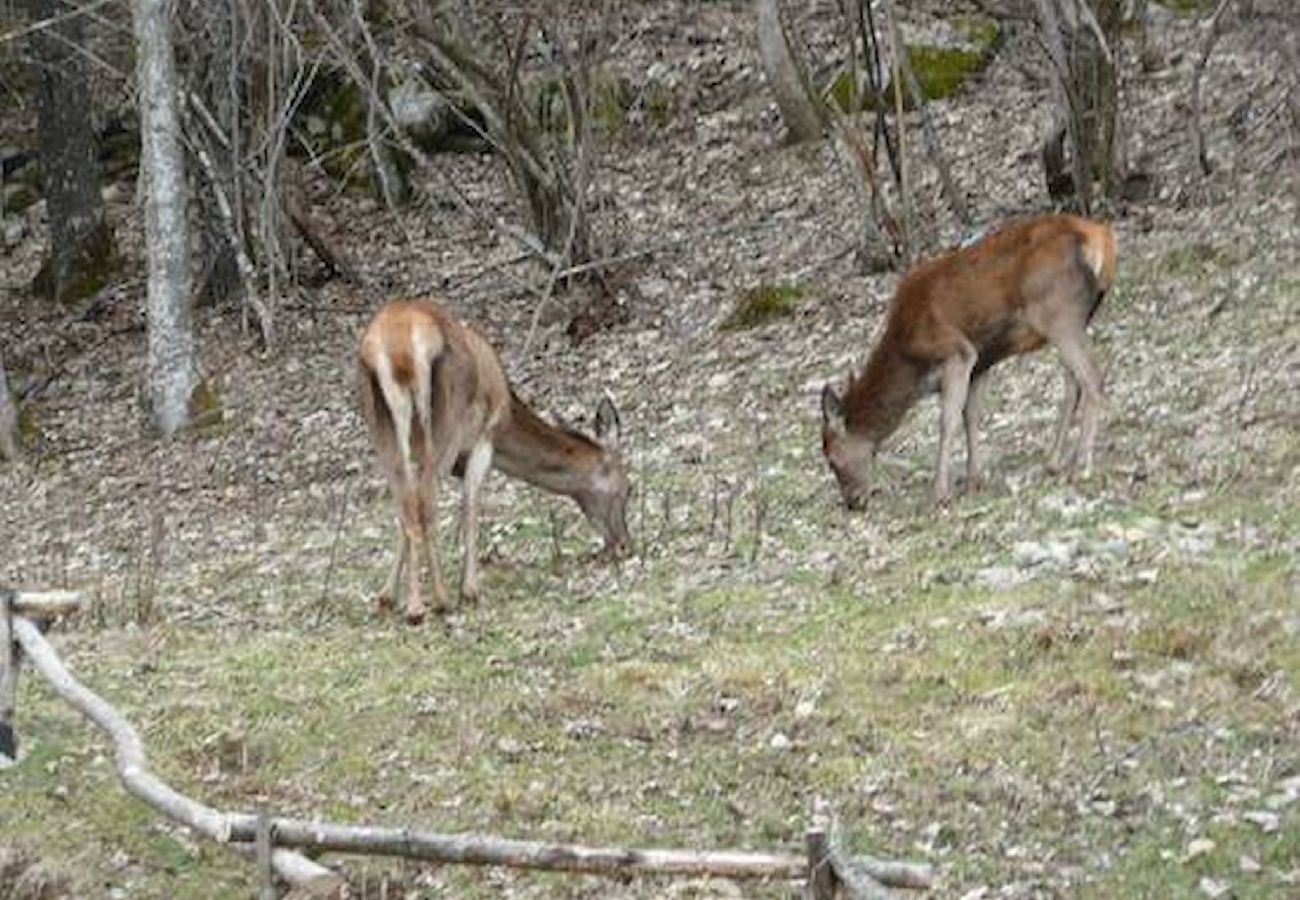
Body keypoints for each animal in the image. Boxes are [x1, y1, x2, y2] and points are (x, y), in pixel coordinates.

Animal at [358, 299, 631, 621]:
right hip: (446, 423)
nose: (624, 543)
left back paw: (414, 604)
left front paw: (385, 598)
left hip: (381, 427)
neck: (508, 415)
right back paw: (436, 601)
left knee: (408, 504)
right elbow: (471, 507)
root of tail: (399, 348)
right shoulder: (483, 440)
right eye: (628, 489)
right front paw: (469, 590)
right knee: (426, 502)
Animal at [821, 210, 1118, 507]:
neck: (908, 357)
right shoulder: (982, 362)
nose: (853, 502)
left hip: (1056, 312)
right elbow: (971, 416)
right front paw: (974, 479)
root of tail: (1100, 236)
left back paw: (1082, 466)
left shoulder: (957, 351)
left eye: (832, 459)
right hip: (1079, 317)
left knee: (1092, 378)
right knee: (1073, 385)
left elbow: (948, 420)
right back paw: (1054, 462)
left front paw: (940, 493)